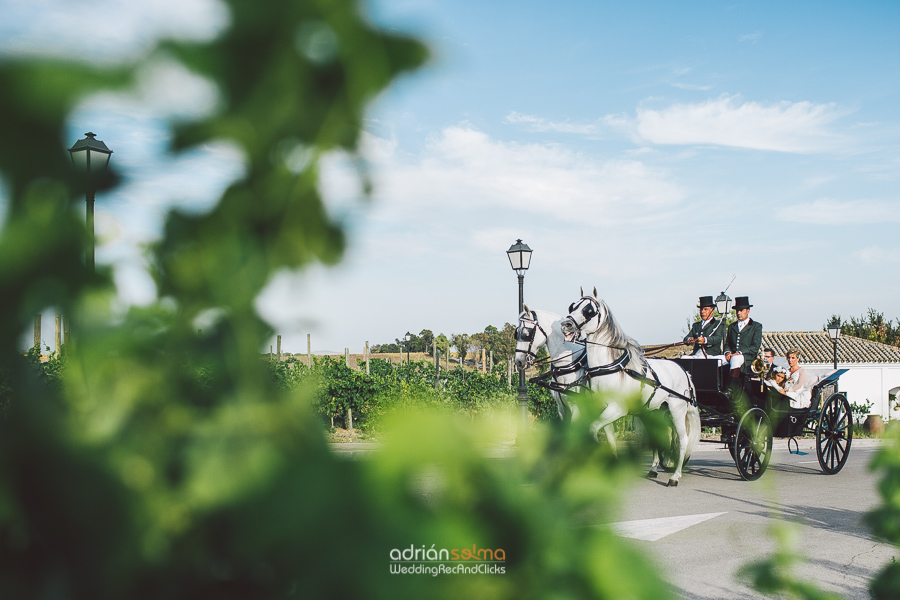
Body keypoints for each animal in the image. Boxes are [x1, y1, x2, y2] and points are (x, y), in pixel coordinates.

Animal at [564, 288, 704, 488]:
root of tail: (683, 370)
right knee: (658, 438)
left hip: (677, 409)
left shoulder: (617, 408)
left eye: (589, 310)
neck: (609, 367)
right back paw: (653, 469)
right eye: (572, 306)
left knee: (683, 440)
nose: (566, 324)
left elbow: (593, 429)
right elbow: (608, 436)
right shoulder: (603, 408)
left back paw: (675, 476)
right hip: (655, 411)